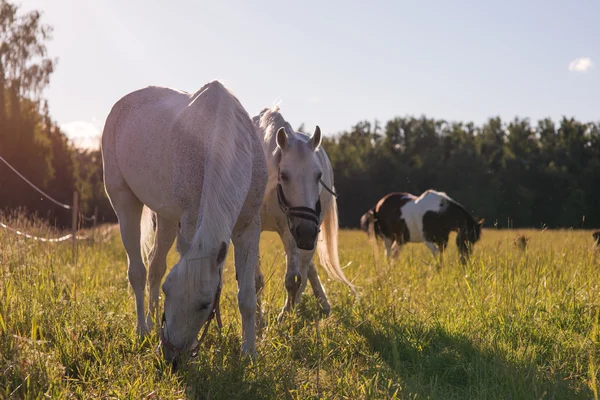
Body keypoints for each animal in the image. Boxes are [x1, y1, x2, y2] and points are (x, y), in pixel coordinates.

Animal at [102, 79, 266, 360]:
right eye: (169, 291)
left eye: (204, 304)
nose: (170, 355)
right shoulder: (190, 223)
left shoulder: (248, 228)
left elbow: (246, 297)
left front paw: (249, 353)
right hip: (124, 202)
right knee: (138, 272)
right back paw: (142, 329)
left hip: (167, 219)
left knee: (155, 267)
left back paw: (151, 321)